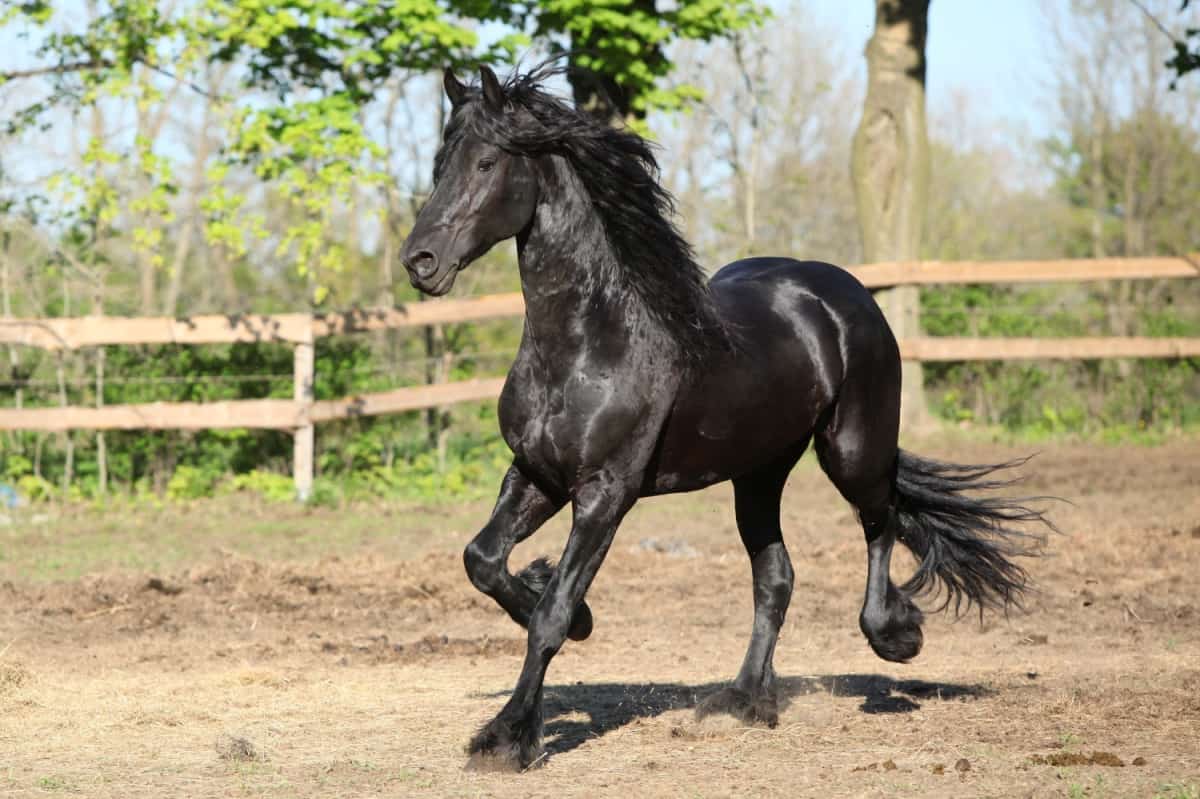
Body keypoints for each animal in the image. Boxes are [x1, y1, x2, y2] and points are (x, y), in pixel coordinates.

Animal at [398, 65, 1046, 767]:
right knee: (777, 576)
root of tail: (847, 293)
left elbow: (549, 615)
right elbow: (484, 560)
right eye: (439, 164)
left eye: (487, 162)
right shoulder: (535, 474)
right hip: (757, 474)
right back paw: (743, 701)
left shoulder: (605, 492)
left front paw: (507, 737)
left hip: (852, 449)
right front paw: (573, 614)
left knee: (883, 518)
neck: (591, 342)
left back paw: (894, 635)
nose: (419, 262)